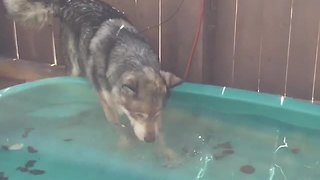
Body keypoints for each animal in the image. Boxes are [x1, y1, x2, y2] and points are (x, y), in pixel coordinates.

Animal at [3, 0, 182, 166]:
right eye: (137, 114)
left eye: (157, 113)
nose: (149, 140)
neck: (135, 58)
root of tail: (68, 3)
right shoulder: (108, 107)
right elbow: (119, 129)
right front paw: (125, 147)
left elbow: (161, 134)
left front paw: (167, 152)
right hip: (73, 66)